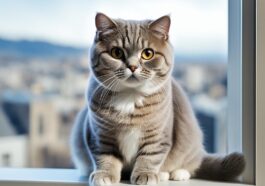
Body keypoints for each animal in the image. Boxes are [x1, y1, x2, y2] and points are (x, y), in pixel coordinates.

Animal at [69, 12, 243, 185]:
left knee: (191, 163)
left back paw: (174, 173)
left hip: (190, 142)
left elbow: (150, 155)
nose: (132, 66)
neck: (130, 96)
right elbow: (105, 156)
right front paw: (104, 175)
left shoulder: (158, 134)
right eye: (116, 53)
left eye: (148, 53)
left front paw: (145, 174)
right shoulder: (100, 135)